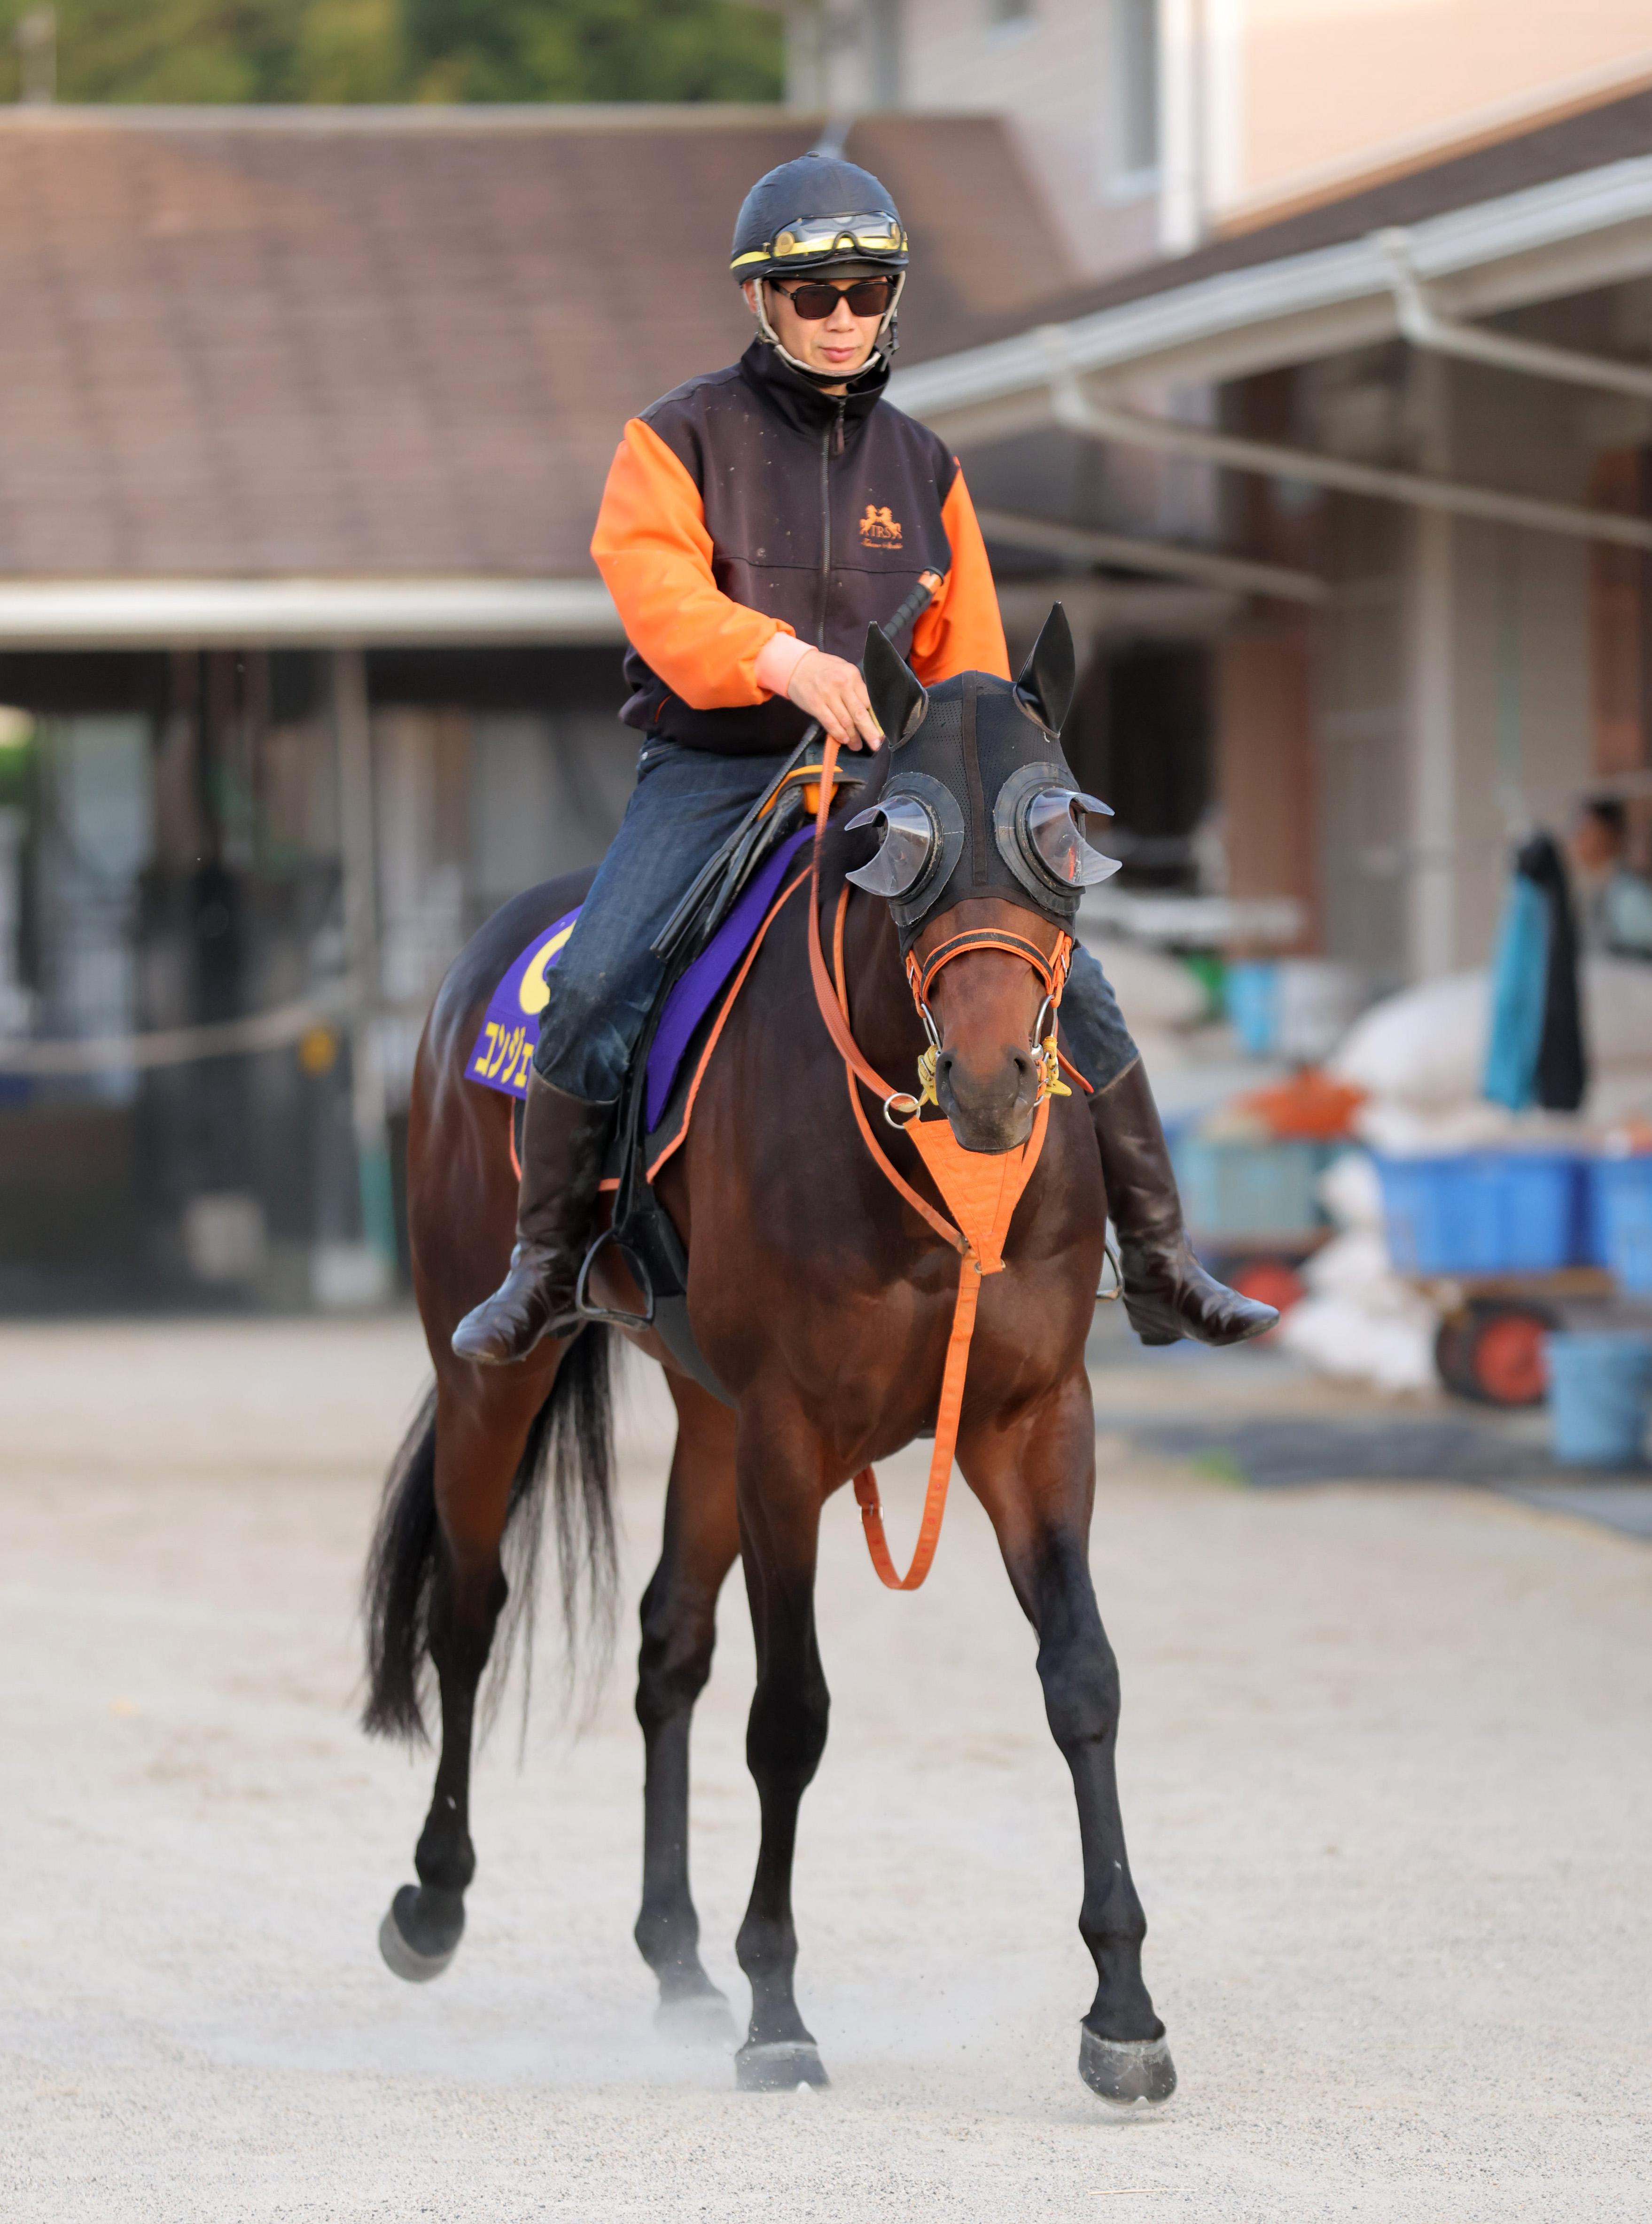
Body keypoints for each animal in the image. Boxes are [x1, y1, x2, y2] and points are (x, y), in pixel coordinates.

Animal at [361, 611, 1176, 2107]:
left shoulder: (1031, 1417)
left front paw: (1124, 2007)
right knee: (470, 1608)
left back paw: (678, 1958)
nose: (991, 1078)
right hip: (492, 1369)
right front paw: (778, 2009)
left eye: (1062, 831)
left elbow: (1082, 1679)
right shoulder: (794, 1436)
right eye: (894, 836)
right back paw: (434, 1901)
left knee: (666, 1645)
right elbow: (790, 1712)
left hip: (708, 1415)